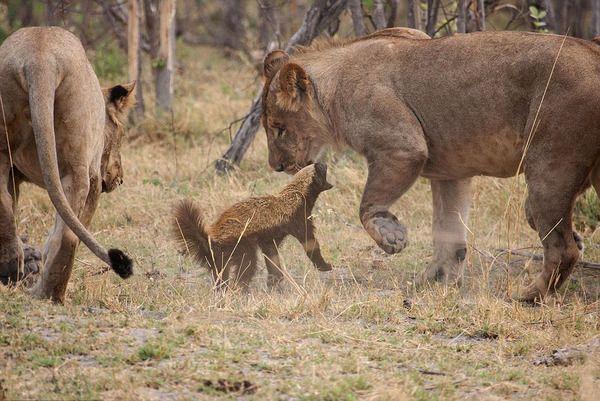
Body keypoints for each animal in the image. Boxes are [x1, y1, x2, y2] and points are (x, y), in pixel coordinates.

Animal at [0, 27, 134, 300]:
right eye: (121, 134)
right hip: (78, 166)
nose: (120, 178)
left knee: (4, 205)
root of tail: (40, 58)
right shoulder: (94, 176)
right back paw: (50, 294)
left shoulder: (14, 174)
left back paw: (12, 269)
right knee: (69, 235)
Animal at [262, 27, 600, 300]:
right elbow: (448, 234)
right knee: (551, 230)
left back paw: (528, 295)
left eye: (279, 128)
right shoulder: (451, 172)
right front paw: (433, 281)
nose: (276, 166)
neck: (334, 90)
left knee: (562, 248)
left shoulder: (403, 147)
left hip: (550, 165)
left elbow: (367, 205)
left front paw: (392, 237)